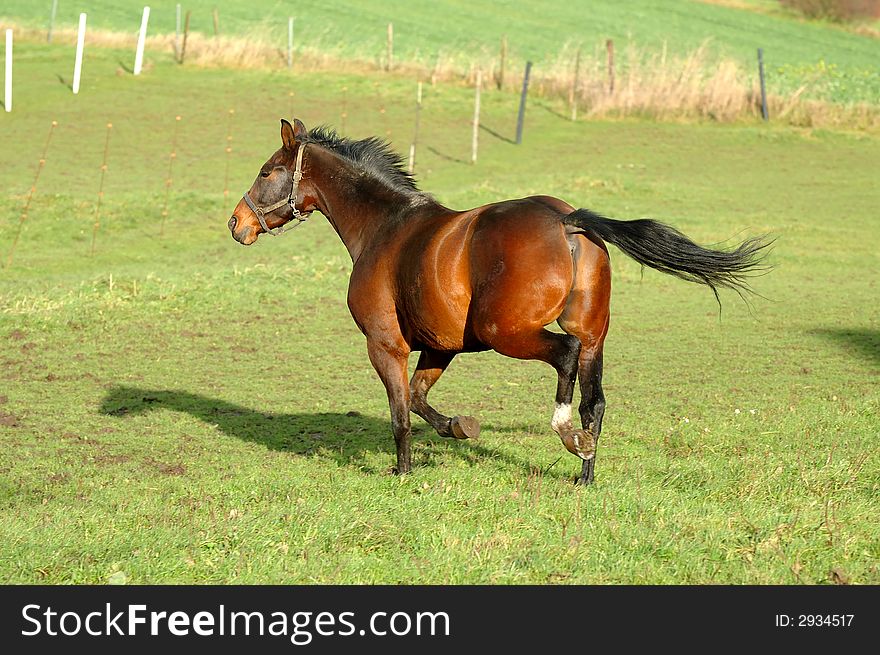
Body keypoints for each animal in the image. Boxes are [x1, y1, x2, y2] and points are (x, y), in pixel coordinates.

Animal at [229, 120, 768, 484]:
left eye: (267, 171)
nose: (237, 223)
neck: (385, 228)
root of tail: (567, 221)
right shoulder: (440, 346)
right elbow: (421, 401)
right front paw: (459, 427)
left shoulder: (385, 345)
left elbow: (401, 413)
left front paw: (403, 473)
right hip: (592, 335)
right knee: (594, 400)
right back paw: (584, 471)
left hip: (507, 332)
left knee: (565, 360)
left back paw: (567, 434)